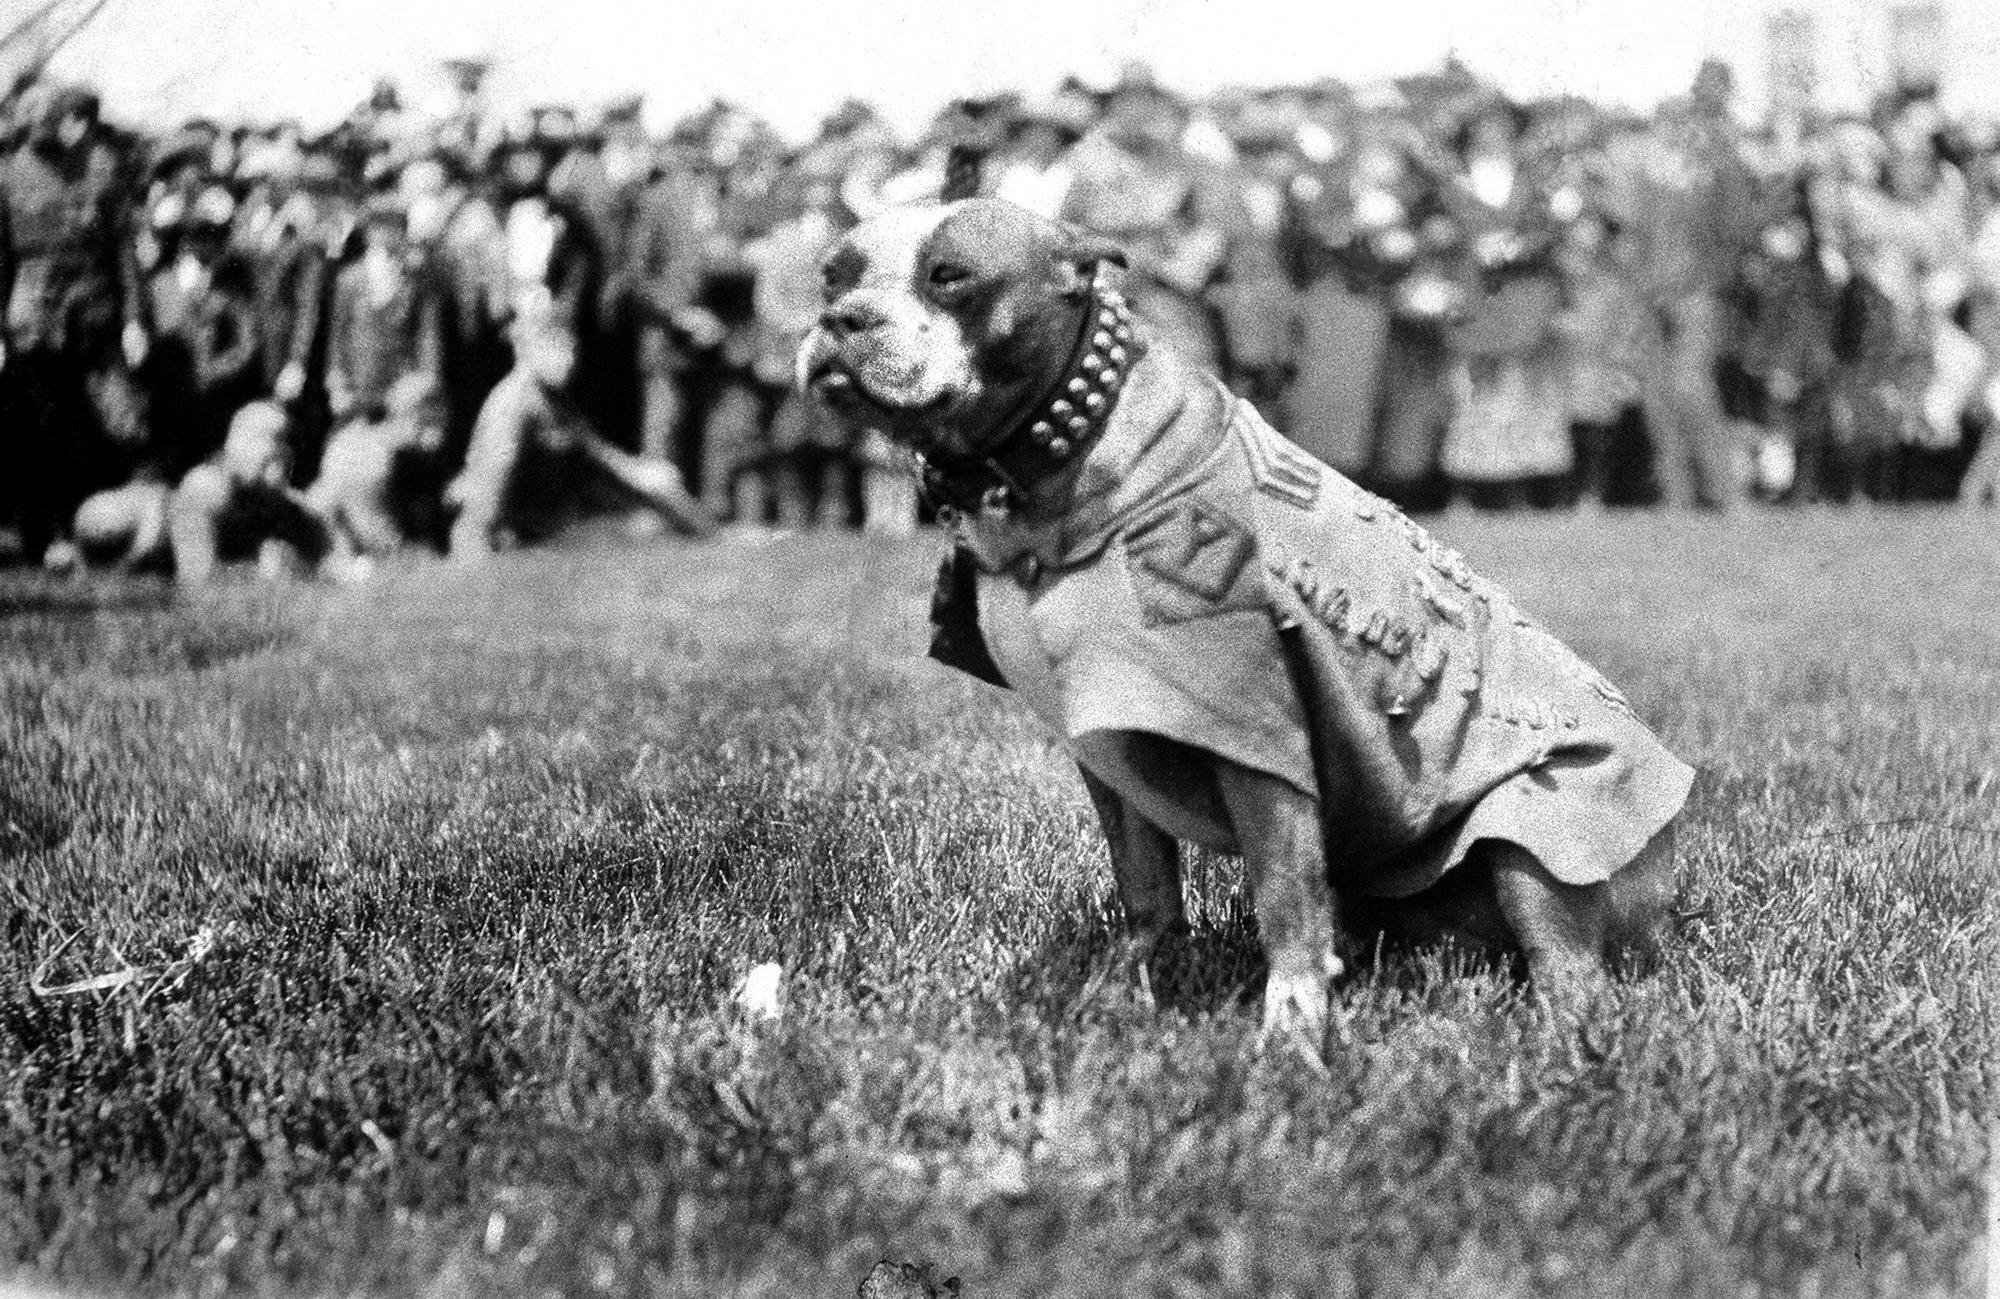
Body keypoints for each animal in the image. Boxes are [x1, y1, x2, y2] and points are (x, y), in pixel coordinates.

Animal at [796, 201, 1688, 1047]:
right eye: (832, 277)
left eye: (950, 277)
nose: (841, 319)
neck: (1060, 453)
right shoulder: (1108, 742)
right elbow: (1147, 891)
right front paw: (1116, 992)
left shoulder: (1258, 742)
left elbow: (1283, 896)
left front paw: (1291, 1034)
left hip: (1543, 830)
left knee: (1567, 963)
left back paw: (1564, 1037)